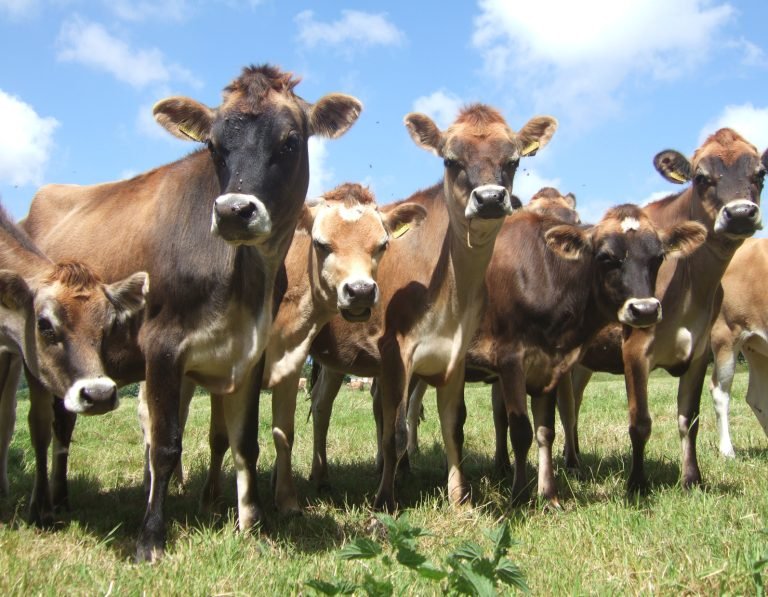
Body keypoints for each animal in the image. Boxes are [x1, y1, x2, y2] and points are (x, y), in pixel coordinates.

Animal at [0, 204, 148, 526]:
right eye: (44, 325)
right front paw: (40, 508)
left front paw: (46, 505)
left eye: (108, 325)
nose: (100, 395)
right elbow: (38, 426)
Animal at [21, 64, 362, 561]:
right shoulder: (162, 348)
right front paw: (150, 538)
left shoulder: (248, 352)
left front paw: (252, 525)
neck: (245, 278)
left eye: (290, 141)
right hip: (35, 357)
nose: (235, 211)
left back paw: (62, 502)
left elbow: (245, 442)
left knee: (65, 424)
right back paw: (40, 508)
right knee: (42, 428)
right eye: (213, 145)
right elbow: (165, 446)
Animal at [309, 104, 558, 511]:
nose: (490, 199)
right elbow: (395, 431)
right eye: (451, 160)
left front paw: (459, 497)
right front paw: (385, 499)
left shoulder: (454, 352)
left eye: (514, 160)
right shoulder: (395, 350)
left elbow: (454, 424)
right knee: (321, 407)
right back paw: (321, 476)